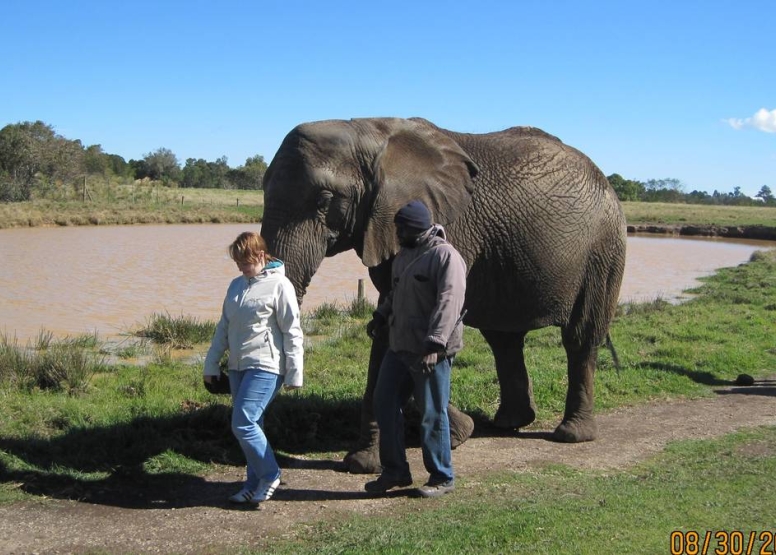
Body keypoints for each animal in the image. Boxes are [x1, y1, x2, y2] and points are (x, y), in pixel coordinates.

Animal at [260, 116, 624, 474]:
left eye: (324, 200)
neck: (367, 131)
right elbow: (392, 319)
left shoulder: (448, 227)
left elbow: (402, 329)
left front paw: (372, 460)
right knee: (503, 339)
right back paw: (508, 423)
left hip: (603, 250)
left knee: (580, 336)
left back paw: (571, 434)